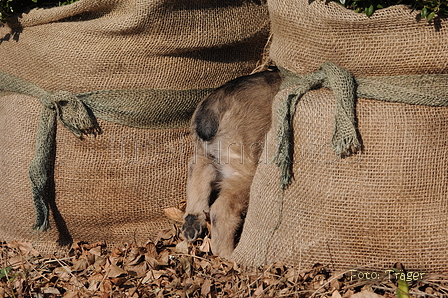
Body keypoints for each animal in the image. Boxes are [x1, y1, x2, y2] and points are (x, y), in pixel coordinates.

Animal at [180, 67, 282, 258]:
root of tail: (215, 107)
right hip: (244, 168)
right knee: (221, 211)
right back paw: (228, 256)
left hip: (206, 154)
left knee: (197, 171)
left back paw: (192, 220)